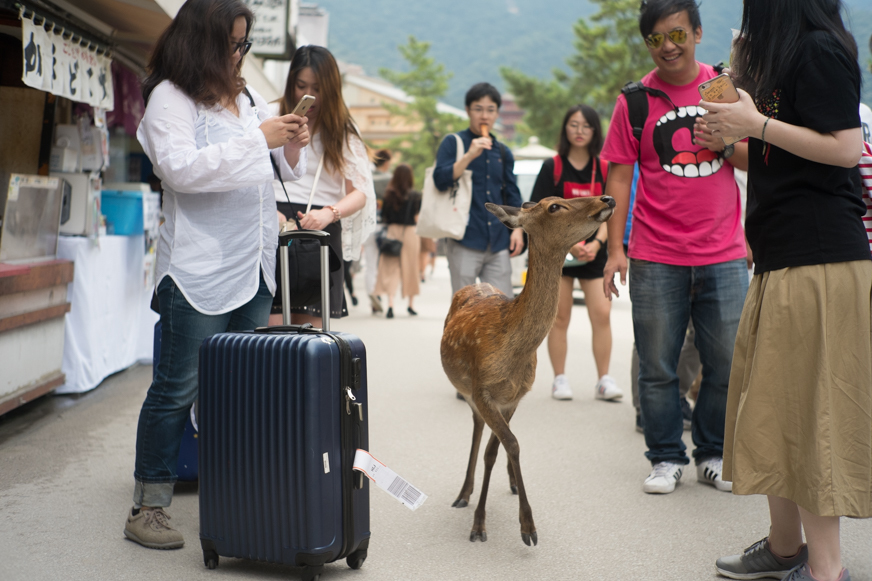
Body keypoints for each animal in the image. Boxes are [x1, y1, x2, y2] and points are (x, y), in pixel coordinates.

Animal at [442, 195, 612, 544]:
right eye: (554, 207)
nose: (607, 197)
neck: (513, 350)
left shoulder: (515, 396)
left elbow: (501, 448)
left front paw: (514, 522)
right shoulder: (482, 389)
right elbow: (506, 445)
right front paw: (501, 527)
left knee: (487, 435)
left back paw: (504, 483)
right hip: (469, 391)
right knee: (476, 428)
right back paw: (463, 494)